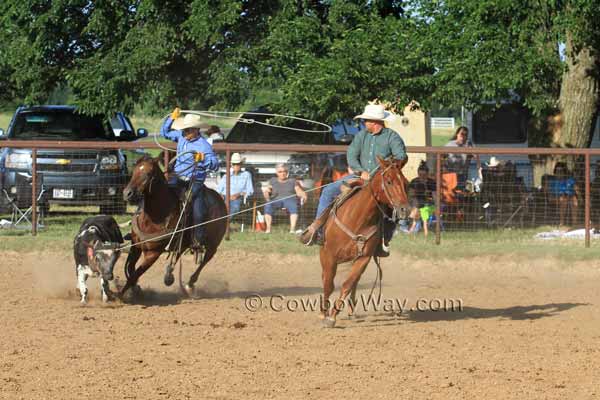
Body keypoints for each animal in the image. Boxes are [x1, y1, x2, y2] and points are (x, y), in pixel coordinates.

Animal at [120, 155, 229, 298]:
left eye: (148, 174)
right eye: (134, 171)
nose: (127, 193)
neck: (156, 216)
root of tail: (220, 199)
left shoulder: (153, 253)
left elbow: (136, 273)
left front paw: (118, 295)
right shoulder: (136, 246)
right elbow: (130, 268)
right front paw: (135, 289)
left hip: (213, 243)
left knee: (206, 259)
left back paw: (189, 284)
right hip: (183, 243)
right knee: (177, 254)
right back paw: (169, 274)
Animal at [318, 156, 408, 328]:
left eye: (405, 182)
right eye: (389, 181)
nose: (403, 210)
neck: (357, 219)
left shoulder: (363, 259)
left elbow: (347, 284)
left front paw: (332, 317)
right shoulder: (329, 255)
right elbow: (328, 284)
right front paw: (323, 314)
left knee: (354, 282)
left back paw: (351, 310)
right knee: (326, 278)